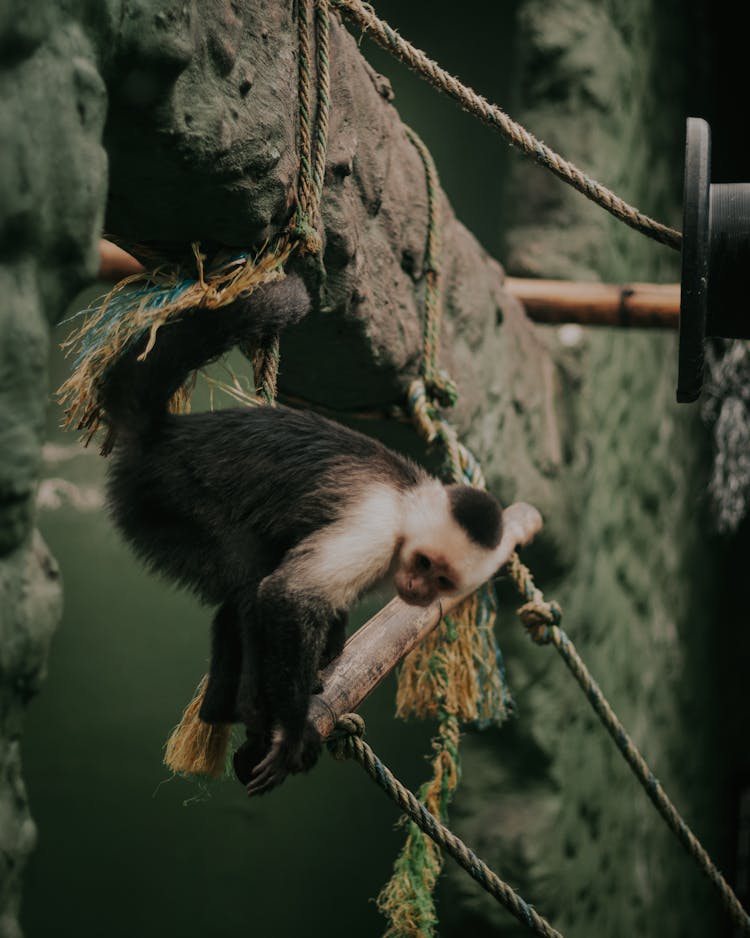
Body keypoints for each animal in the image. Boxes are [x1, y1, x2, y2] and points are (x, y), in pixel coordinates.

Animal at [100, 272, 508, 796]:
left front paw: (325, 658)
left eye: (442, 580)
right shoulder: (376, 527)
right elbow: (290, 595)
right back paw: (244, 709)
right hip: (167, 497)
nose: (418, 588)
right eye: (422, 563)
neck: (407, 503)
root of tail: (161, 436)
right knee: (248, 581)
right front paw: (293, 731)